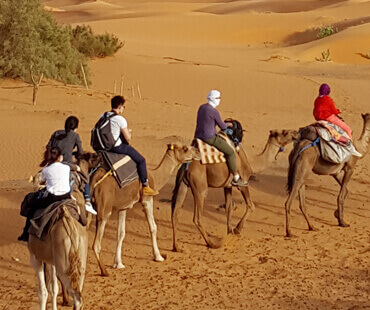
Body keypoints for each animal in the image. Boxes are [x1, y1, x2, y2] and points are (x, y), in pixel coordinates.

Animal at [83, 143, 197, 276]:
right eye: (185, 148)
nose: (197, 151)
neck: (154, 177)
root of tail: (93, 179)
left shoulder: (123, 206)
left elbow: (121, 233)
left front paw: (118, 264)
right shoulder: (147, 200)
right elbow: (153, 227)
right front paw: (158, 257)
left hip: (89, 208)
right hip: (104, 209)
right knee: (96, 244)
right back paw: (104, 271)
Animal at [172, 128, 300, 252]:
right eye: (285, 132)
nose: (296, 133)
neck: (250, 161)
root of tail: (187, 165)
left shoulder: (227, 186)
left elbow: (229, 209)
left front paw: (230, 232)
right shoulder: (243, 183)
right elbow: (251, 206)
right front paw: (237, 229)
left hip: (183, 185)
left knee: (175, 213)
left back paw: (176, 247)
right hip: (200, 187)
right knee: (197, 217)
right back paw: (211, 244)